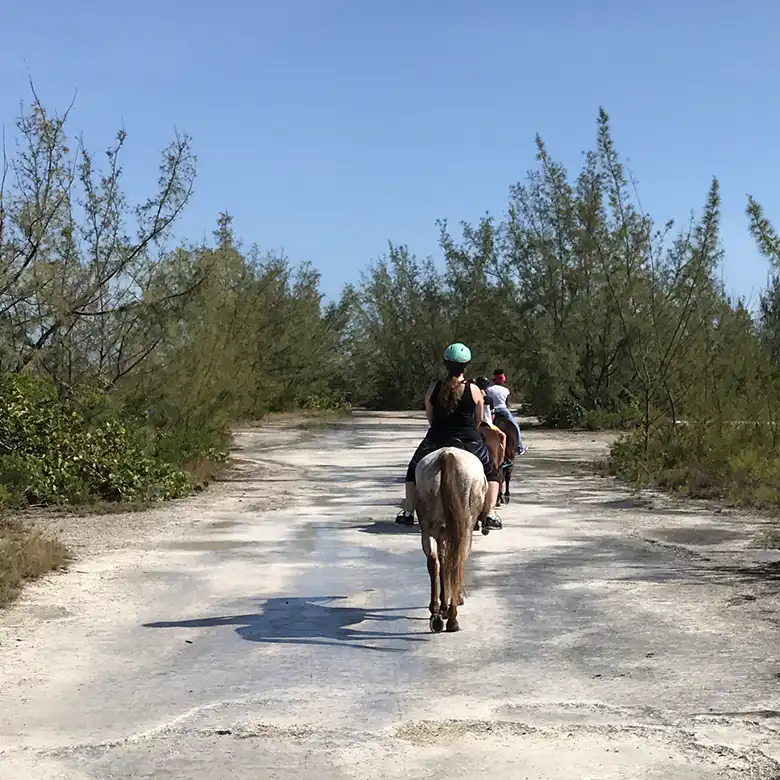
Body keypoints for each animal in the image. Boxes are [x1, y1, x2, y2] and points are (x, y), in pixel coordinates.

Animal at [414, 446, 487, 633]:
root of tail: (447, 455)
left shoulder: (442, 533)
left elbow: (443, 562)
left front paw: (443, 606)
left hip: (429, 528)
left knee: (434, 562)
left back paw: (436, 614)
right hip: (465, 527)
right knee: (457, 561)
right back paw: (453, 617)